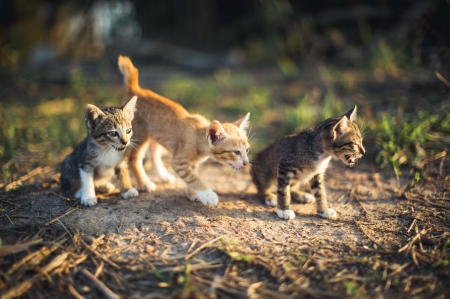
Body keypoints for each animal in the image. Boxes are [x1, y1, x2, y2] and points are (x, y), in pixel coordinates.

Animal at [117, 55, 250, 206]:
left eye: (247, 150)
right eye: (236, 152)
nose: (246, 163)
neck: (198, 139)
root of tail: (136, 90)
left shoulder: (192, 163)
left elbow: (193, 176)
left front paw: (193, 194)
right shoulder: (179, 162)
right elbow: (194, 178)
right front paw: (208, 195)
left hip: (156, 134)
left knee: (152, 154)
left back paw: (164, 176)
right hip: (141, 134)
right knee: (134, 158)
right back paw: (145, 183)